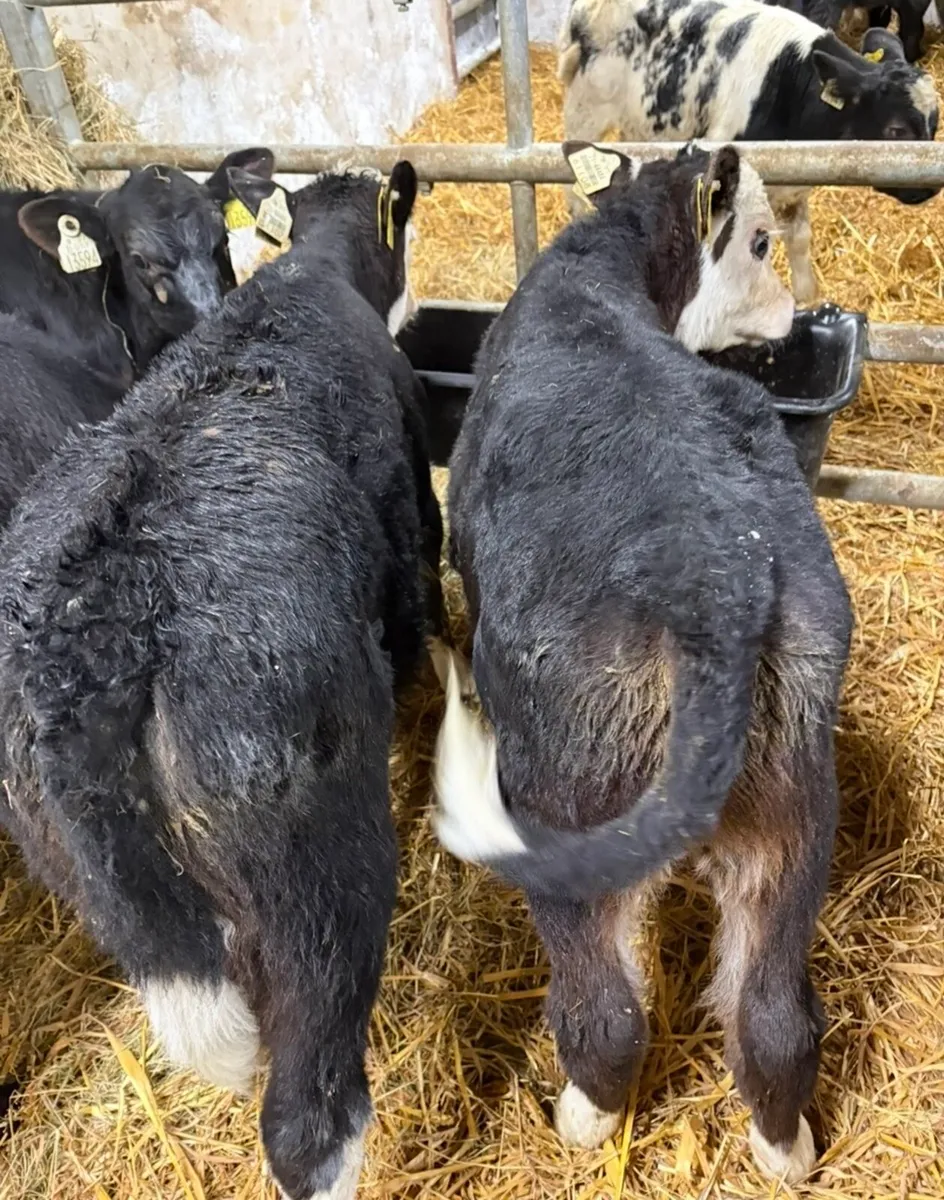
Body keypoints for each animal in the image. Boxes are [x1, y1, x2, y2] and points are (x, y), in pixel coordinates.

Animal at [432, 142, 852, 1185]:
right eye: (758, 241)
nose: (791, 313)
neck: (600, 273)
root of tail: (715, 590)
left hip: (564, 801)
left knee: (610, 1013)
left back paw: (581, 1119)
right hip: (798, 811)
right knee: (775, 1019)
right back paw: (786, 1149)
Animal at [558, 0, 940, 304]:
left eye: (935, 123)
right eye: (897, 131)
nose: (930, 187)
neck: (786, 89)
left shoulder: (795, 184)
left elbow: (799, 239)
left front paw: (807, 298)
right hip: (583, 112)